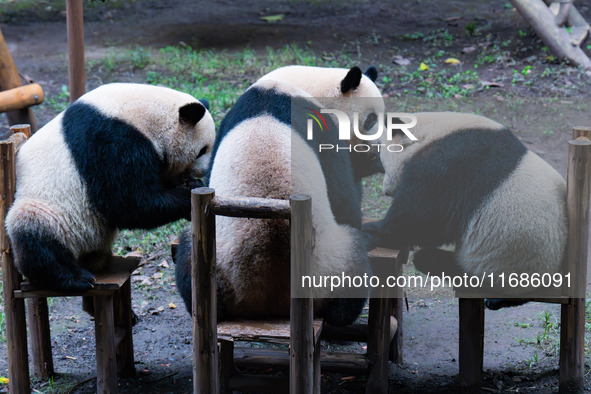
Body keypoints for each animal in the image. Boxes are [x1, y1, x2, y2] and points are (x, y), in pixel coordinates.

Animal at [6, 83, 215, 296]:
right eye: (202, 150)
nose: (204, 171)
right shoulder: (109, 139)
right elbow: (128, 202)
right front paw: (187, 195)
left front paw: (192, 186)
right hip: (46, 210)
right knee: (36, 237)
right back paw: (73, 278)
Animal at [175, 65, 388, 326]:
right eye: (371, 119)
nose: (379, 156)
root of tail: (268, 295)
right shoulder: (322, 130)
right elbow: (343, 200)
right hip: (331, 262)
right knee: (351, 275)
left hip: (219, 265)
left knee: (189, 266)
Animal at [366, 112, 568, 310]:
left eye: (382, 160)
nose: (385, 189)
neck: (430, 132)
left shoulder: (451, 162)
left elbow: (421, 219)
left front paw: (373, 231)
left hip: (499, 266)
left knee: (437, 262)